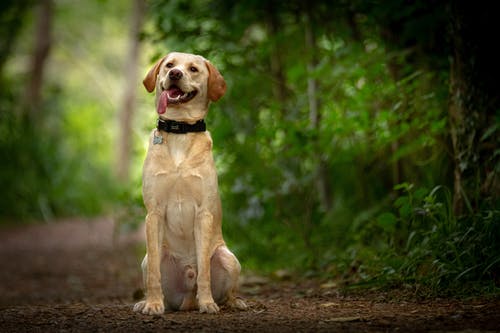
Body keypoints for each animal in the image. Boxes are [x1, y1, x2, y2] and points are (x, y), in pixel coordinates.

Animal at [132, 51, 247, 314]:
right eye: (169, 65)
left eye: (193, 69)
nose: (175, 74)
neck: (180, 130)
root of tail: (186, 299)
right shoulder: (154, 213)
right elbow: (154, 274)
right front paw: (153, 305)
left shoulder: (203, 213)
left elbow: (204, 270)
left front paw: (207, 303)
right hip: (146, 260)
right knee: (153, 272)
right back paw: (147, 301)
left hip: (229, 259)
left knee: (227, 290)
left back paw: (232, 302)